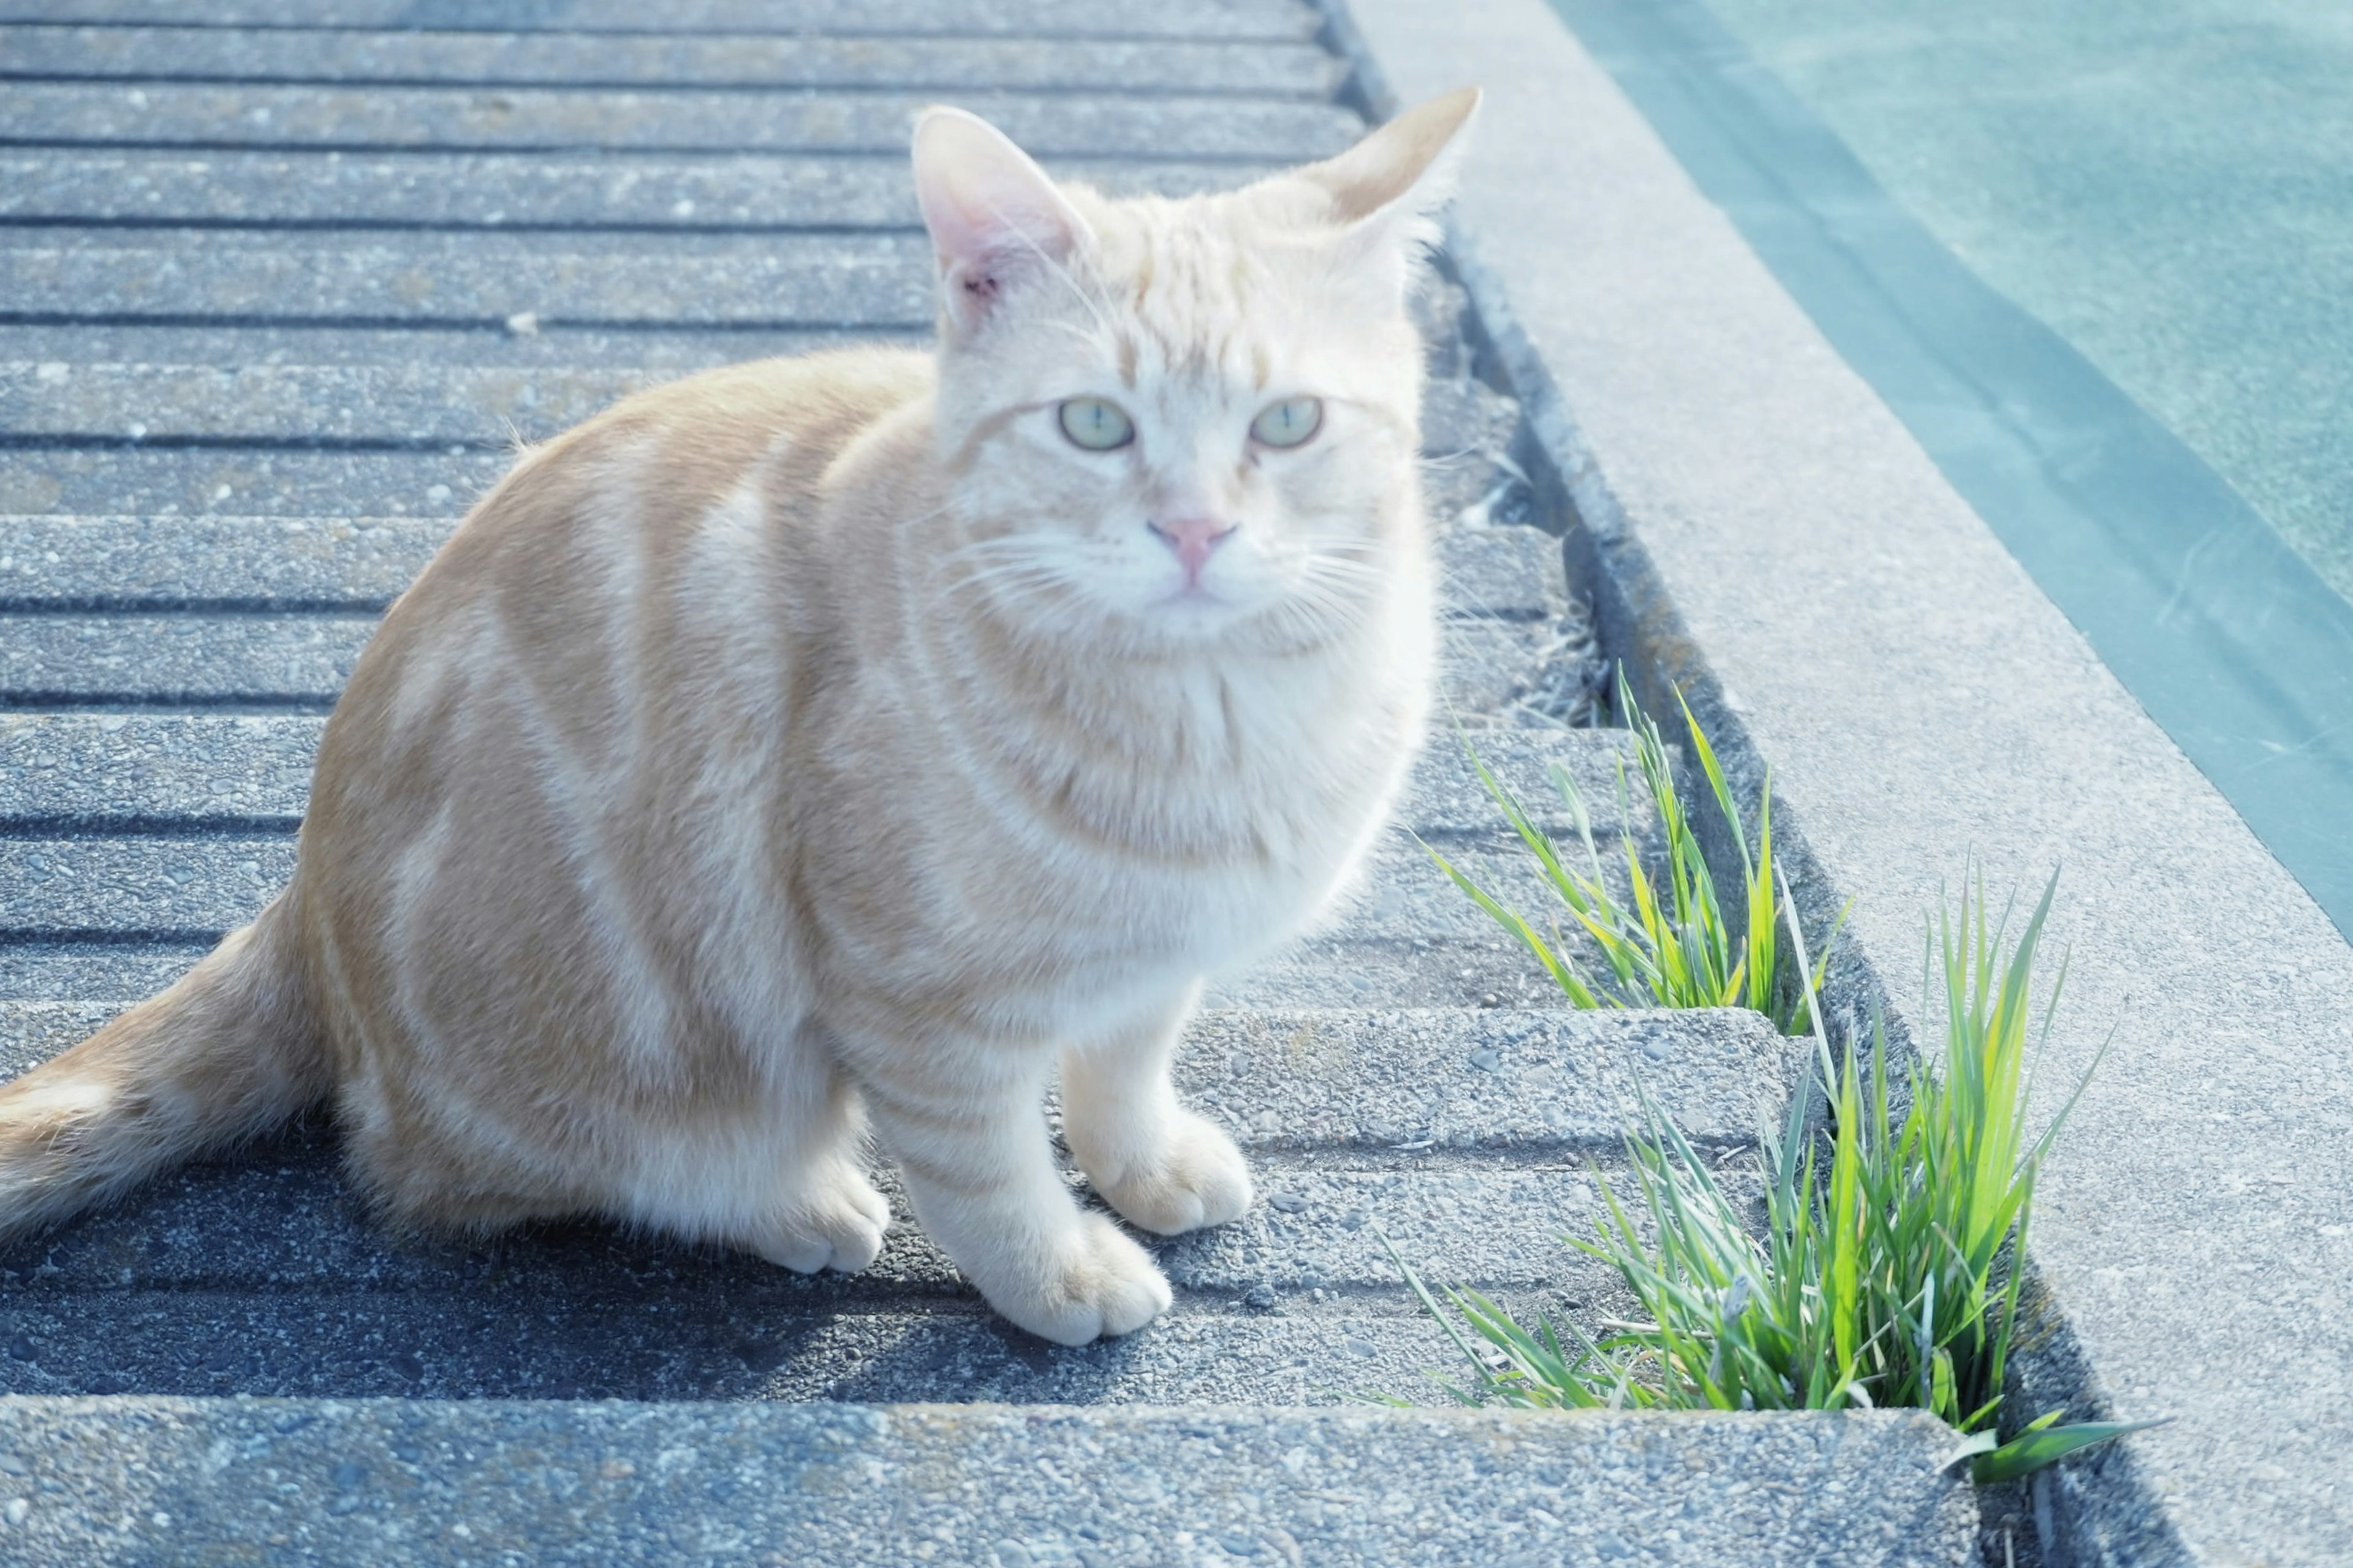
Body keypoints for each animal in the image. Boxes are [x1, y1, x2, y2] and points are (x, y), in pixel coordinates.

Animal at [0, 91, 1468, 1346]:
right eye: (1096, 424)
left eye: (1290, 422)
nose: (1198, 531)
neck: (1218, 722)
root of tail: (302, 899)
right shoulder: (913, 1003)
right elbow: (987, 1171)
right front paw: (1057, 1272)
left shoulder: (1153, 961)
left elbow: (1122, 1067)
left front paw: (1144, 1159)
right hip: (623, 1083)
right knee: (459, 1173)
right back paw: (792, 1201)